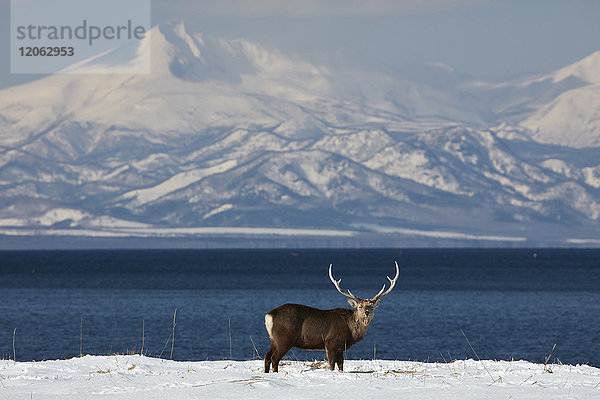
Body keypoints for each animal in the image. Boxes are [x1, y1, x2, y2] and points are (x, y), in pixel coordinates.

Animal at [264, 262, 398, 372]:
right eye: (360, 306)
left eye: (371, 306)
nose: (367, 312)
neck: (352, 331)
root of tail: (269, 316)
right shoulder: (330, 343)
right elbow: (332, 366)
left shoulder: (341, 347)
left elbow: (341, 366)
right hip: (284, 339)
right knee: (274, 358)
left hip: (273, 339)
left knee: (267, 356)